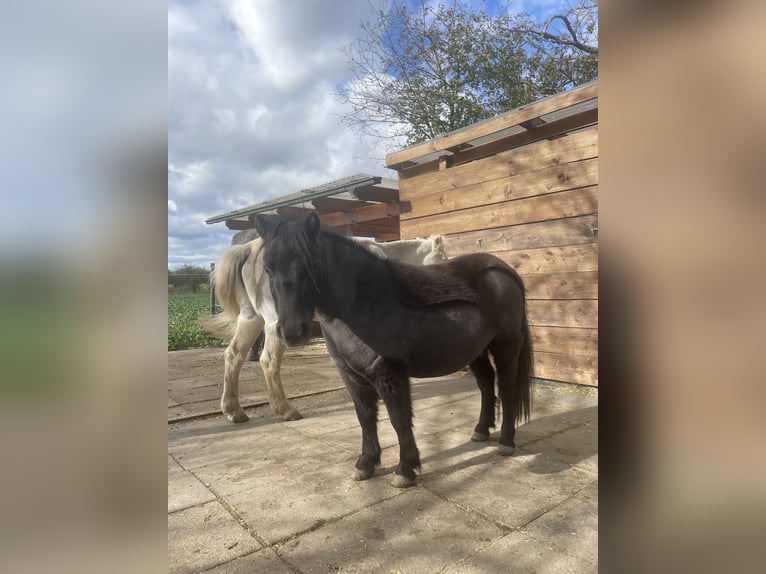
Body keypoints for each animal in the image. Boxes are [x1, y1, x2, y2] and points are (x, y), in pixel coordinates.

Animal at [202, 233, 450, 424]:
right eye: (442, 260)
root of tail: (249, 249)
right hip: (274, 323)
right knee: (269, 361)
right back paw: (286, 410)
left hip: (251, 318)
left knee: (234, 354)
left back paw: (234, 410)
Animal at [255, 214, 532, 488]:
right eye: (268, 268)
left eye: (313, 263)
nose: (292, 331)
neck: (363, 302)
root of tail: (505, 271)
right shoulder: (351, 375)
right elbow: (365, 417)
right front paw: (366, 463)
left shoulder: (389, 371)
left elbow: (399, 419)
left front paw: (405, 469)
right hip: (475, 351)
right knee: (486, 383)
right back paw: (481, 431)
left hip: (506, 345)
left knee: (506, 388)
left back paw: (506, 442)